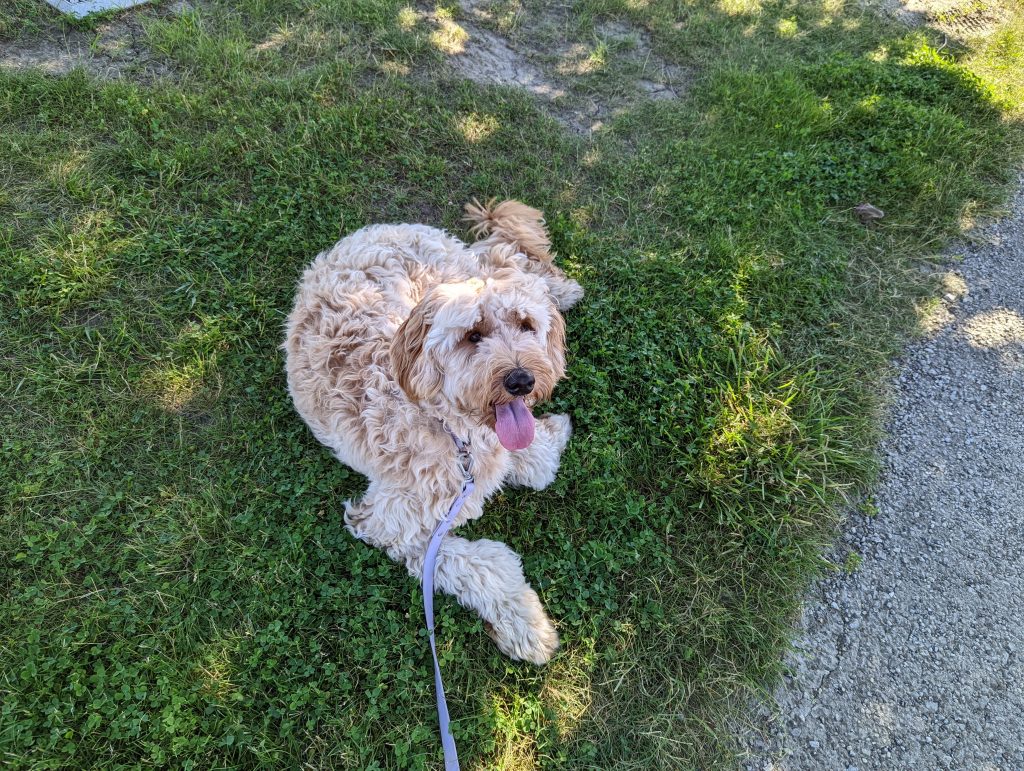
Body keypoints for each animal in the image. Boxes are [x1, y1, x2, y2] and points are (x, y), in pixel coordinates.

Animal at [280, 198, 585, 663]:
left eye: (526, 325)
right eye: (472, 336)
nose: (521, 380)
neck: (450, 427)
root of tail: (372, 230)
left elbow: (534, 465)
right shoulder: (391, 524)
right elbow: (485, 563)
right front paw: (527, 628)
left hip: (452, 268)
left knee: (507, 257)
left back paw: (559, 289)